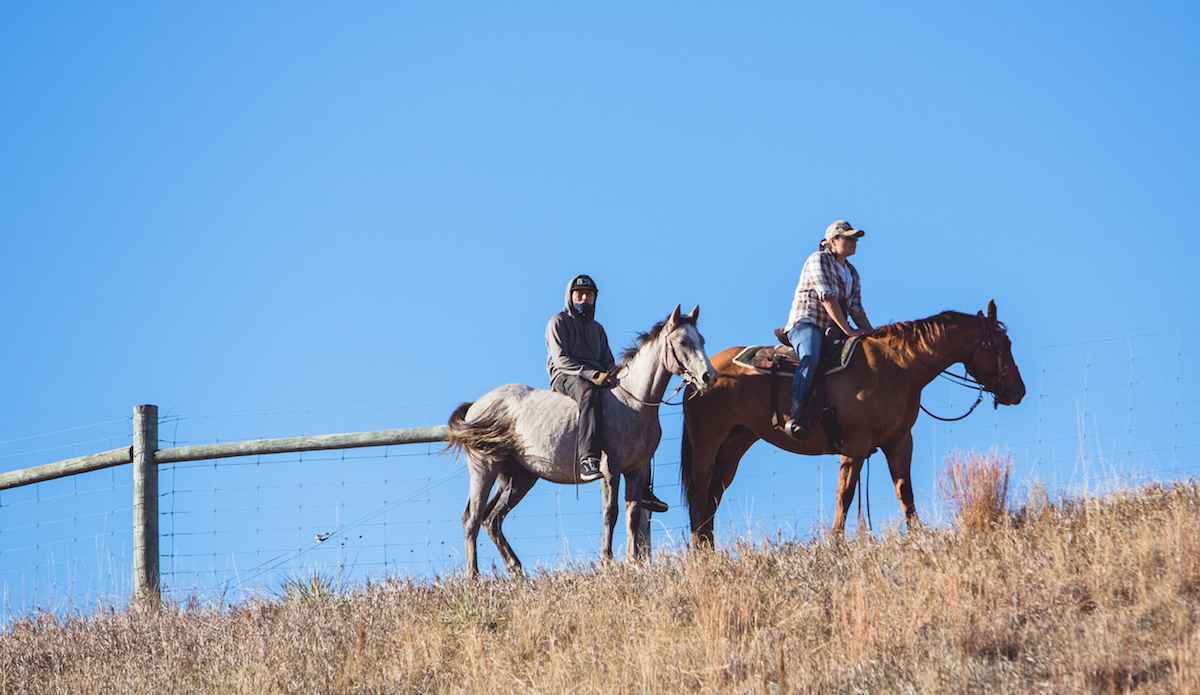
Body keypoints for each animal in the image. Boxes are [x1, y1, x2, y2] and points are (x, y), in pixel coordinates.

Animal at [447, 304, 718, 577]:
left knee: (492, 518)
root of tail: (476, 406)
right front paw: (607, 561)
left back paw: (516, 570)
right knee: (472, 518)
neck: (633, 402)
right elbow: (611, 513)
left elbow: (632, 515)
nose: (709, 377)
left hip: (518, 477)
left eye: (702, 340)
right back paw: (474, 576)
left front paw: (633, 563)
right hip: (485, 468)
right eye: (683, 341)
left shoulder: (637, 470)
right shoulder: (610, 469)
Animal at [681, 300, 1025, 547]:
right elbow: (844, 493)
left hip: (734, 444)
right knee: (699, 495)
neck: (896, 366)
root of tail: (701, 373)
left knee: (712, 497)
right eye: (1002, 344)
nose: (1018, 391)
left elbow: (905, 492)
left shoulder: (899, 441)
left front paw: (918, 536)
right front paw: (835, 543)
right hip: (707, 443)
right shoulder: (856, 444)